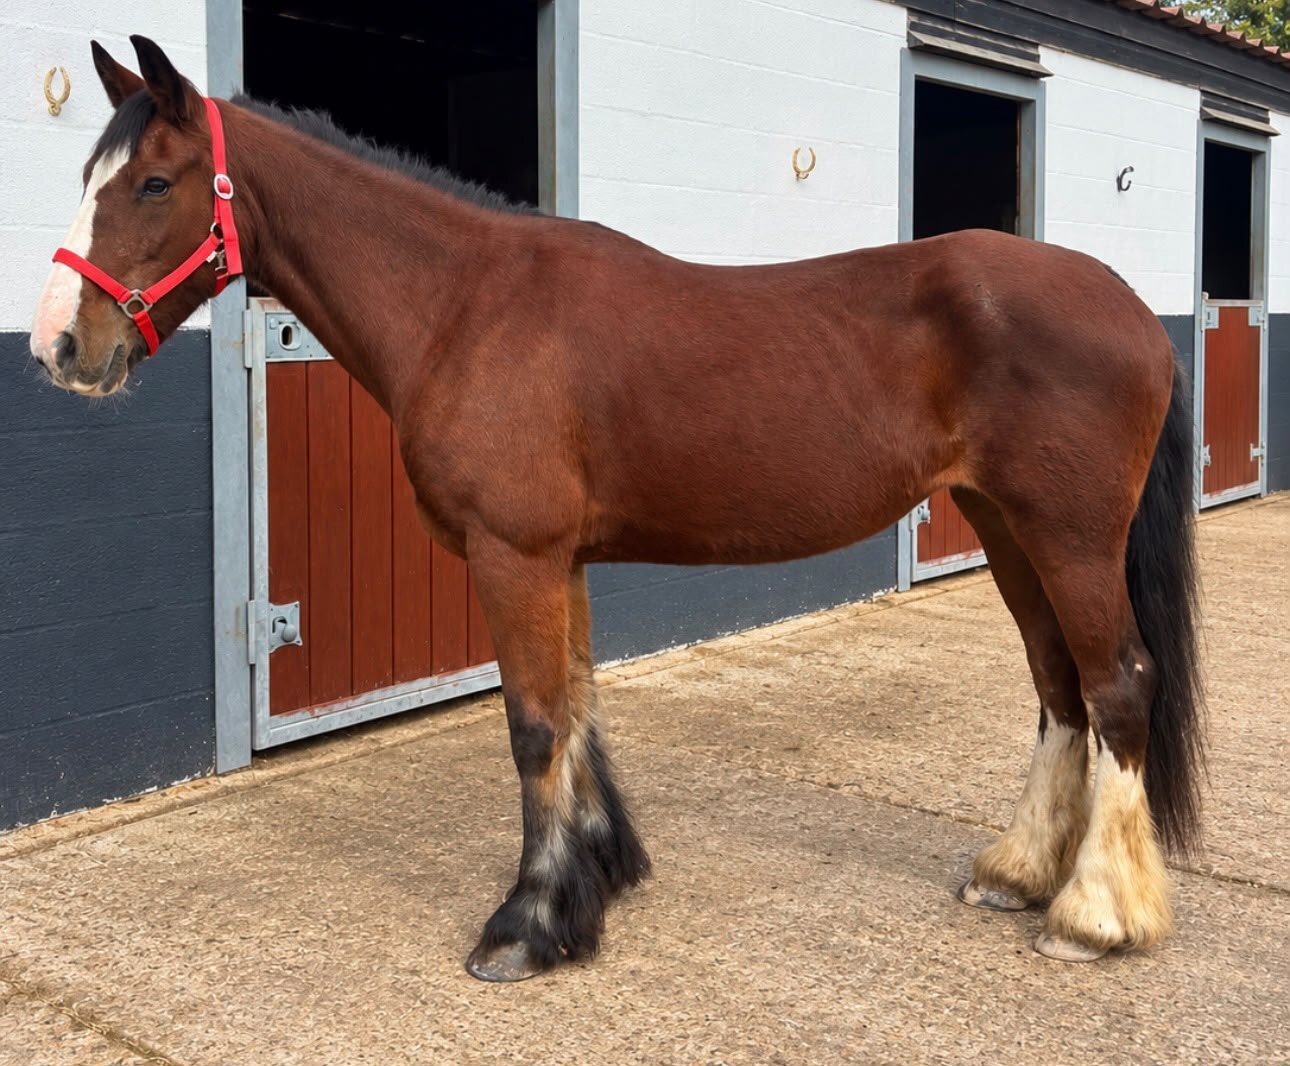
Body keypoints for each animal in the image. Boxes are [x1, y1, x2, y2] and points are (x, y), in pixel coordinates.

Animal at [29, 36, 1204, 981]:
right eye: (88, 175)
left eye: (154, 183)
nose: (58, 347)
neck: (466, 305)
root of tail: (1133, 308)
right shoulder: (563, 559)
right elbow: (581, 706)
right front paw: (600, 875)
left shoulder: (514, 555)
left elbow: (534, 725)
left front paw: (528, 924)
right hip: (1006, 528)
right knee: (1058, 689)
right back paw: (1018, 871)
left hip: (1067, 537)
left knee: (1117, 686)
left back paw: (1093, 917)